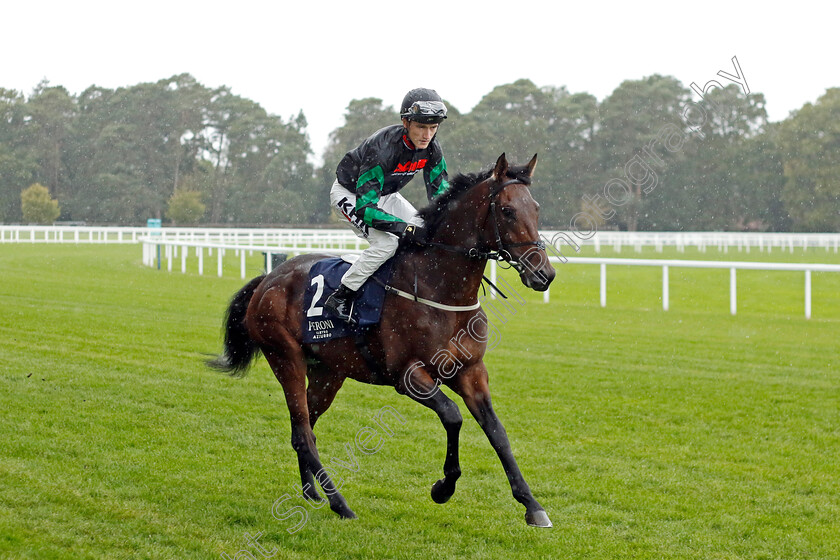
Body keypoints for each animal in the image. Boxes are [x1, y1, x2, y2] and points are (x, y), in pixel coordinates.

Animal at [207, 155, 556, 528]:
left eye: (536, 208)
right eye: (507, 210)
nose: (544, 274)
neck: (439, 287)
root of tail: (268, 279)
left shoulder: (471, 371)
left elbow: (497, 432)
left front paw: (532, 505)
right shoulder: (407, 374)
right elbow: (452, 416)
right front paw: (443, 488)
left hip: (328, 373)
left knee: (304, 429)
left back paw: (312, 492)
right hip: (285, 357)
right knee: (302, 432)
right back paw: (340, 504)